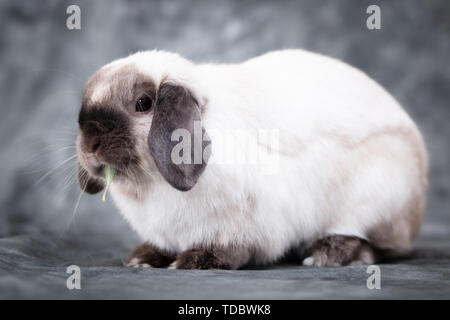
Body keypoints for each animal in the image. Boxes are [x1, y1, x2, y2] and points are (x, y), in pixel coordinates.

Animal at [77, 49, 428, 270]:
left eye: (142, 103)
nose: (91, 143)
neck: (150, 185)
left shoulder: (243, 224)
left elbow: (231, 248)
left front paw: (195, 261)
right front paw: (142, 259)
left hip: (373, 201)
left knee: (374, 246)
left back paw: (327, 255)